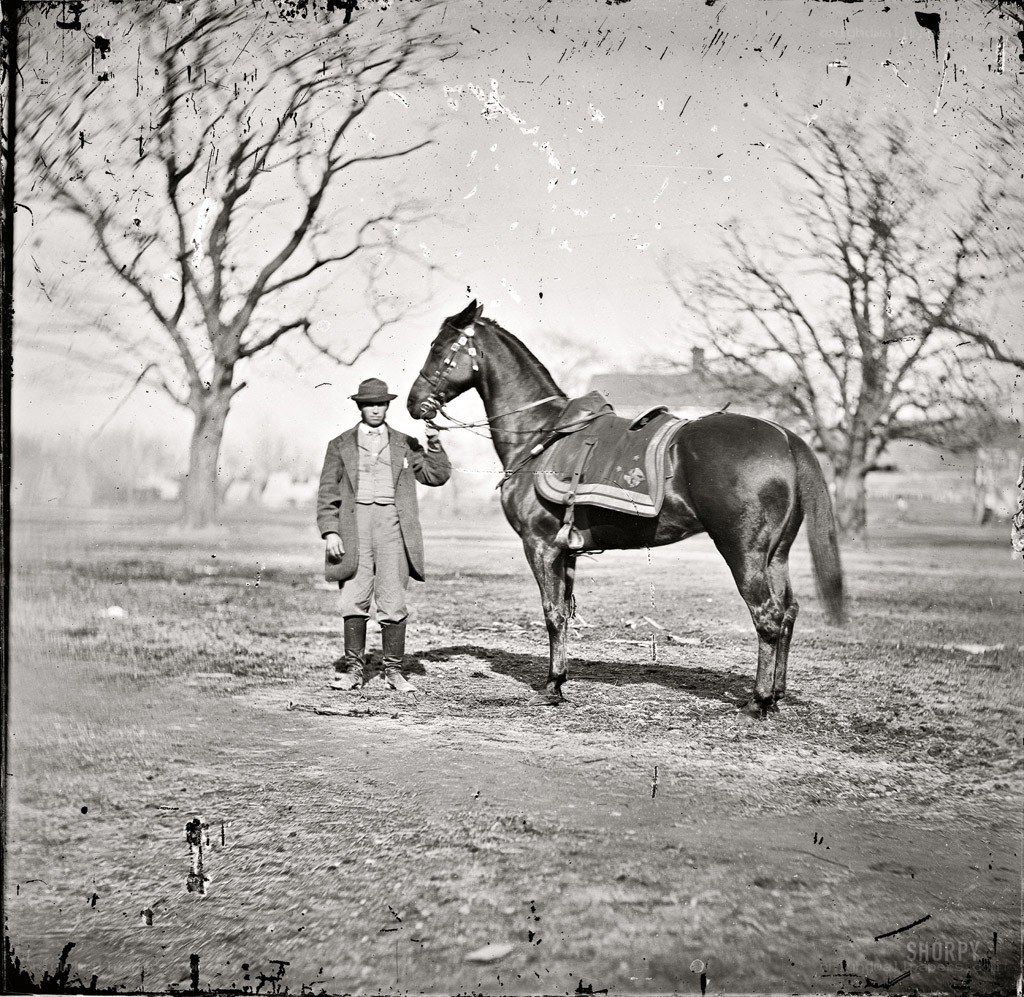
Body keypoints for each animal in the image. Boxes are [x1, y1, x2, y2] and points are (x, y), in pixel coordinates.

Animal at [407, 301, 846, 716]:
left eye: (439, 348)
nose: (414, 404)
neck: (542, 435)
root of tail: (785, 436)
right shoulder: (566, 551)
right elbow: (564, 612)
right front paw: (560, 679)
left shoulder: (540, 545)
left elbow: (551, 612)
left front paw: (551, 686)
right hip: (777, 555)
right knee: (787, 612)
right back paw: (776, 696)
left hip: (744, 552)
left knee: (767, 615)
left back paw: (757, 702)